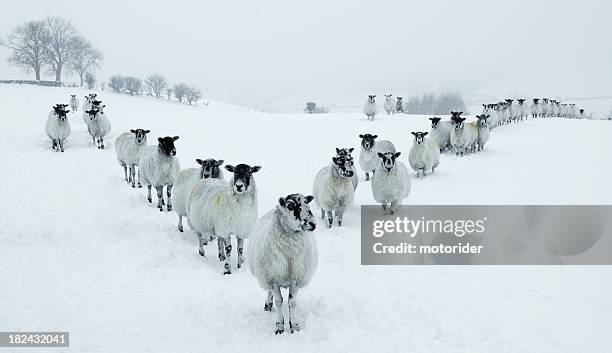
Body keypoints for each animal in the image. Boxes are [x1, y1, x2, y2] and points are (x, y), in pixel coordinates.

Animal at [247, 192, 318, 332]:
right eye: (290, 205)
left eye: (307, 204)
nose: (312, 224)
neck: (289, 251)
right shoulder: (273, 277)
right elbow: (279, 301)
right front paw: (279, 325)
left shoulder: (296, 277)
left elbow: (292, 302)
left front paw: (294, 325)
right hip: (266, 273)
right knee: (270, 292)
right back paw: (268, 304)